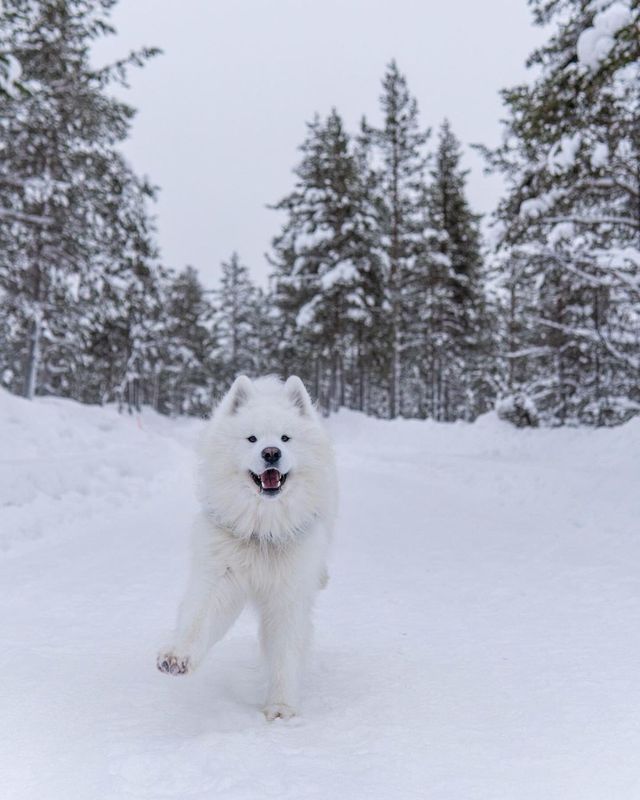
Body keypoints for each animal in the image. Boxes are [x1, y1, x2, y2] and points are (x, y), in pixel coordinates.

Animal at [158, 376, 338, 720]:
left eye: (285, 437)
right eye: (252, 438)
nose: (271, 452)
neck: (263, 529)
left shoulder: (288, 593)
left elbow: (284, 651)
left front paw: (281, 707)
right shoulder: (218, 575)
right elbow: (197, 620)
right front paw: (177, 657)